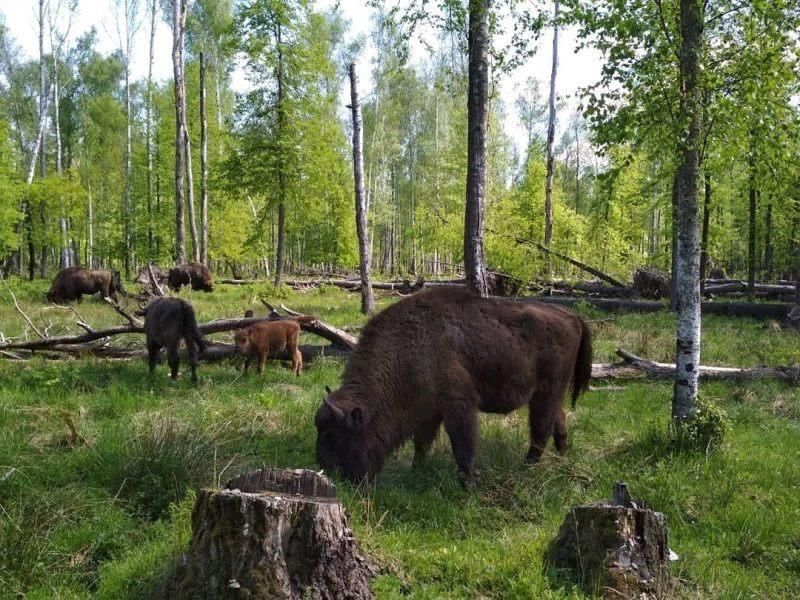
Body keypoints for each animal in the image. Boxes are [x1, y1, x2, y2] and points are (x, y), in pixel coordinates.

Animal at [316, 288, 592, 488]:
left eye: (334, 436)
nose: (329, 474)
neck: (410, 347)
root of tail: (573, 317)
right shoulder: (428, 412)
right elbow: (422, 444)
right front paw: (417, 471)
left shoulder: (457, 406)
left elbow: (462, 446)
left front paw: (466, 484)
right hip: (550, 395)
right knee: (559, 421)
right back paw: (561, 458)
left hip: (546, 393)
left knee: (540, 430)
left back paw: (527, 468)